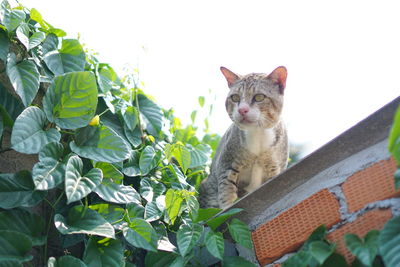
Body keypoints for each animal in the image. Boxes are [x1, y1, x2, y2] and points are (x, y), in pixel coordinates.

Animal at [199, 66, 288, 209]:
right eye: (235, 97)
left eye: (259, 97)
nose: (242, 110)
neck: (258, 134)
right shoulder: (227, 164)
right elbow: (226, 192)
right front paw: (228, 207)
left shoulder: (275, 168)